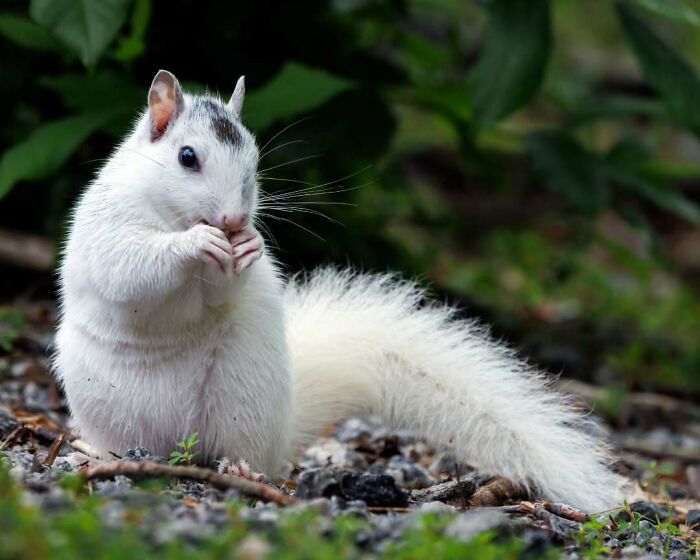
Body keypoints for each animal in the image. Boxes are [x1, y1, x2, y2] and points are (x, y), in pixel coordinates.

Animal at [55, 69, 624, 512]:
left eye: (255, 162)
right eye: (187, 157)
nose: (235, 220)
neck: (172, 215)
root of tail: (174, 447)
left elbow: (220, 293)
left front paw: (248, 247)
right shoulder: (109, 230)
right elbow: (131, 270)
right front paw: (195, 243)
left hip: (242, 398)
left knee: (240, 451)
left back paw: (241, 469)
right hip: (104, 402)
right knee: (119, 438)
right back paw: (95, 453)